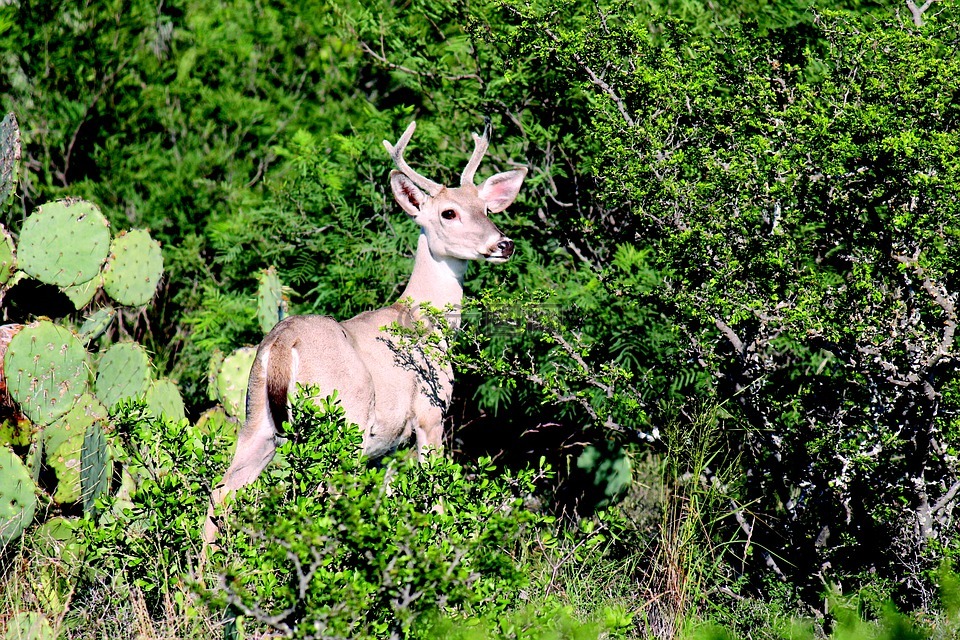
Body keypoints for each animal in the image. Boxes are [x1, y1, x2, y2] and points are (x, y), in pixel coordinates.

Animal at [203, 121, 528, 544]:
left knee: (222, 491)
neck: (423, 319)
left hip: (256, 417)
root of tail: (282, 345)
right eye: (449, 212)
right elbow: (435, 496)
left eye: (486, 209)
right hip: (343, 420)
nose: (503, 244)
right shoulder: (430, 413)